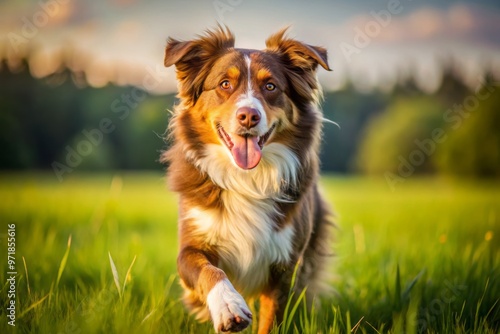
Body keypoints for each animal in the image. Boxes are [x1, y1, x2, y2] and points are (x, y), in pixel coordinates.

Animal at [163, 26, 332, 334]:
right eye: (225, 84)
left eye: (271, 87)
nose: (249, 116)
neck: (247, 178)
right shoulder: (191, 246)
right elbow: (210, 270)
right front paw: (228, 305)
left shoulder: (285, 266)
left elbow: (272, 319)